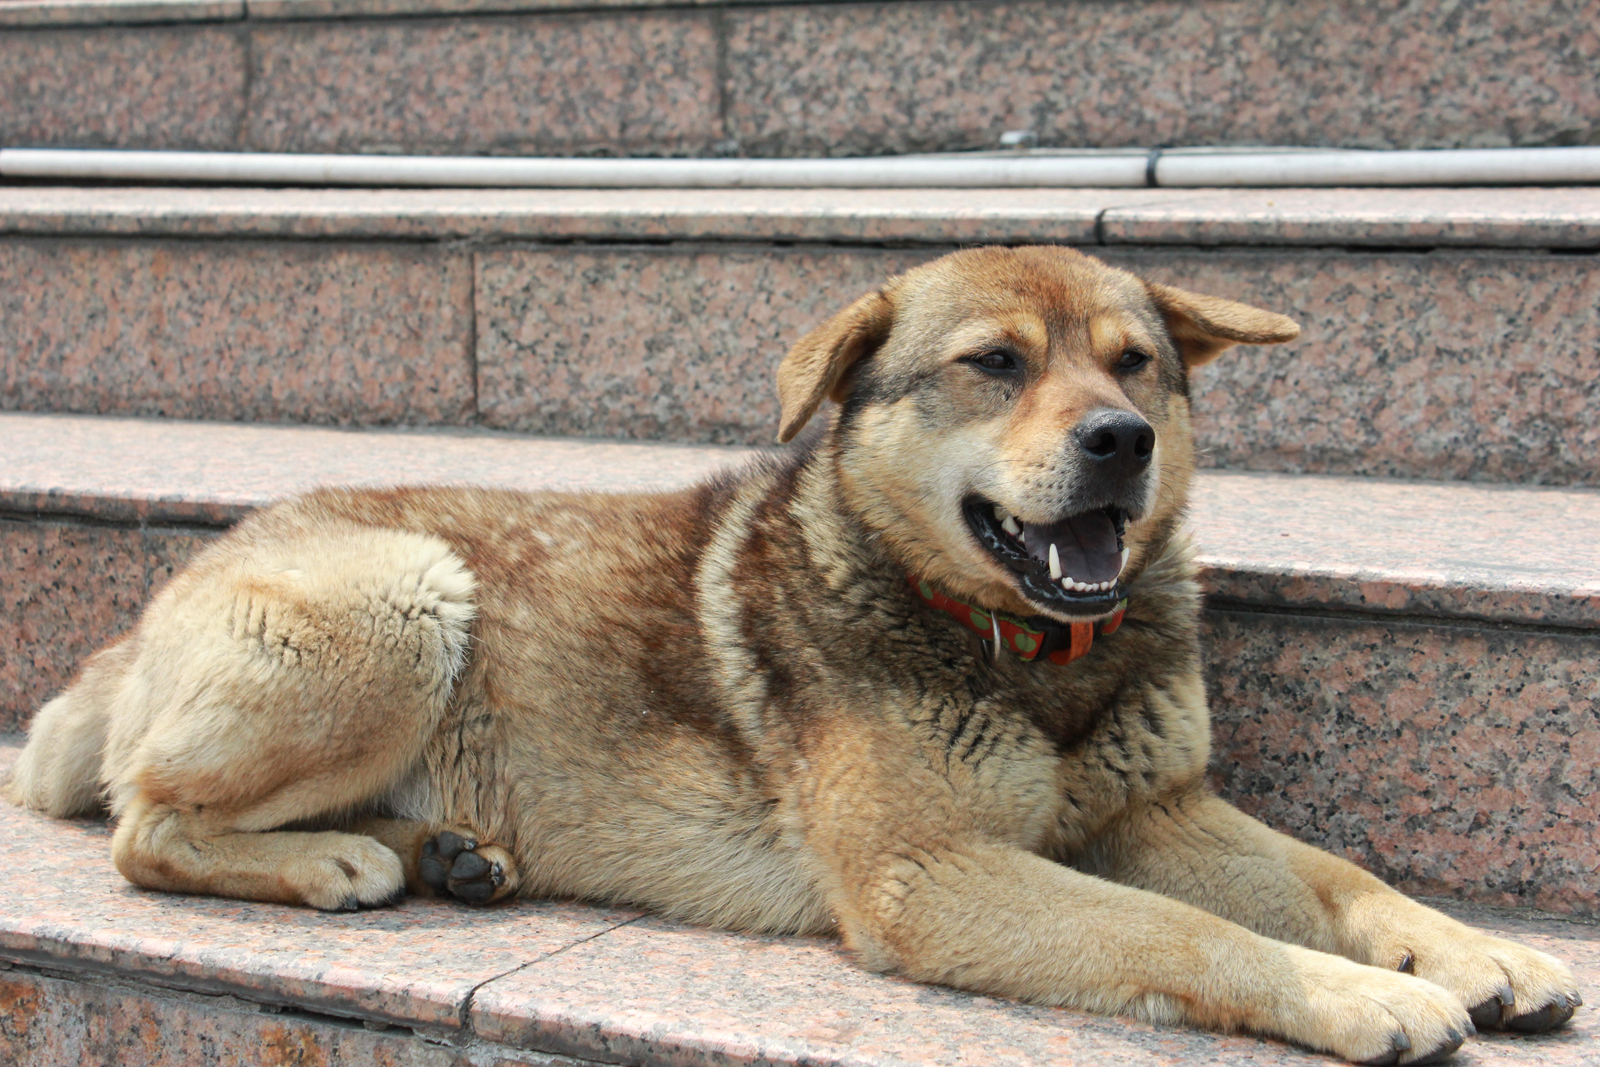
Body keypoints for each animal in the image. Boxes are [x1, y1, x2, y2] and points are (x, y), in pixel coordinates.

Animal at [6, 247, 1580, 1062]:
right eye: (995, 364)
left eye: (1135, 362)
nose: (1122, 441)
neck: (1020, 647)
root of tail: (151, 610)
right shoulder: (927, 875)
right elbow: (1184, 932)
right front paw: (1364, 994)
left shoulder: (1156, 807)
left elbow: (1342, 877)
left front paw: (1479, 947)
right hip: (405, 598)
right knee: (145, 825)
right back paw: (341, 857)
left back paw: (445, 851)